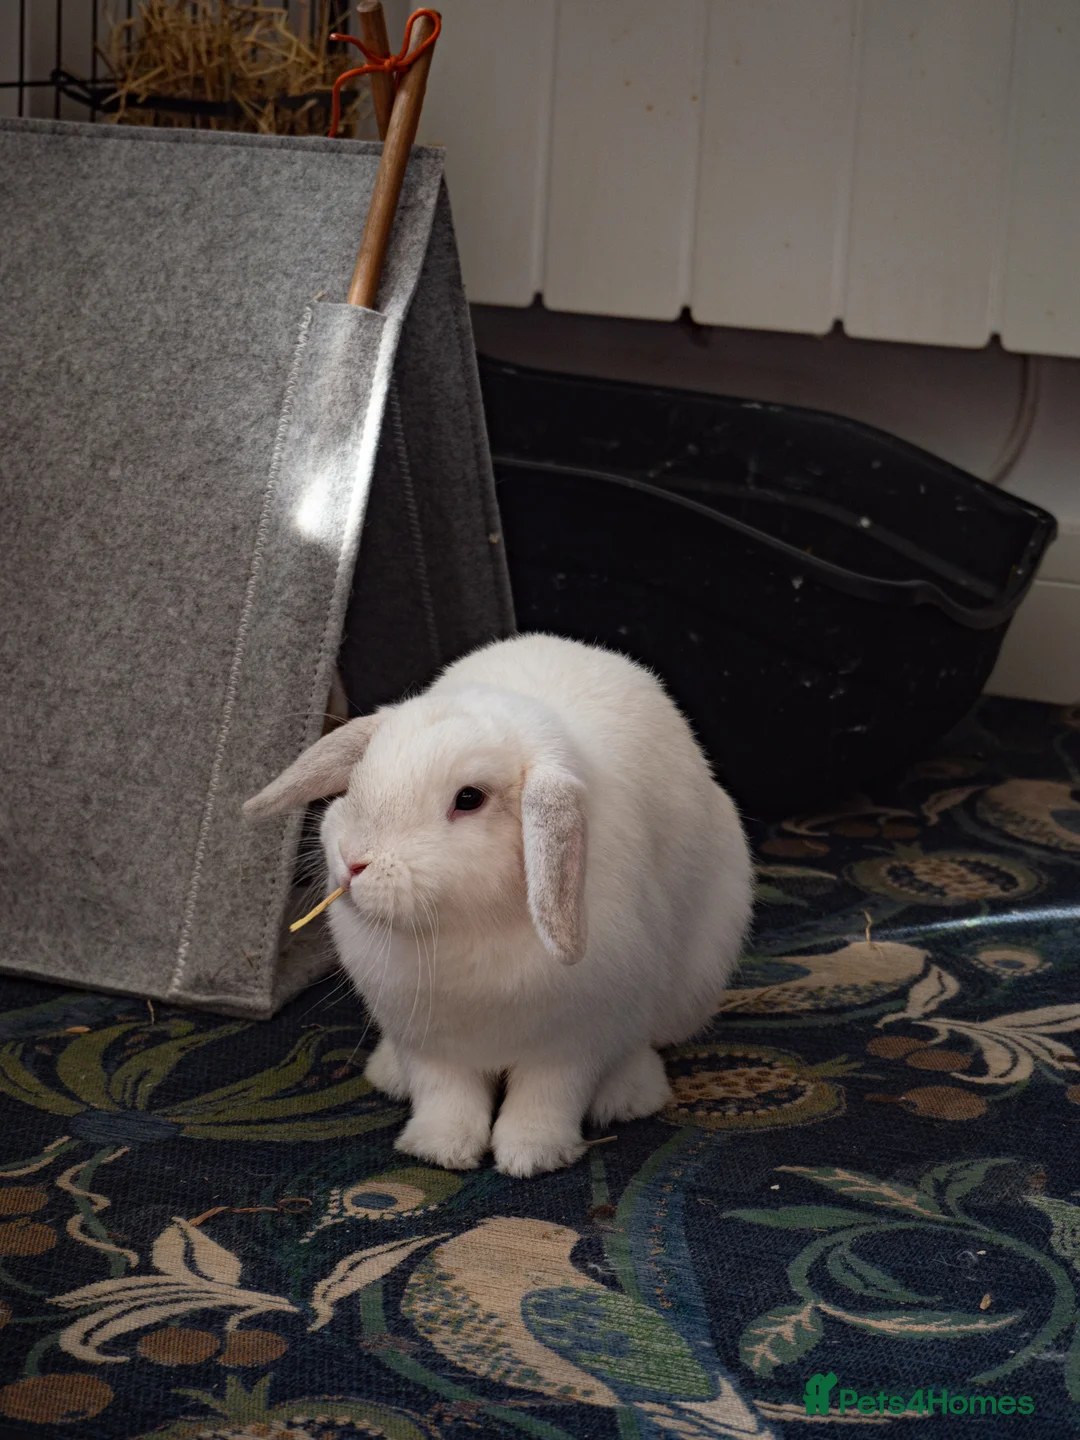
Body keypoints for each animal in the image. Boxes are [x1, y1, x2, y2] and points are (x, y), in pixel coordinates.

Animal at [244, 633, 752, 1177]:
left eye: (469, 798)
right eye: (360, 778)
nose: (352, 862)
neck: (463, 928)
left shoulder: (572, 1045)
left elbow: (546, 1100)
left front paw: (532, 1156)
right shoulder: (429, 1044)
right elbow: (445, 1098)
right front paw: (440, 1150)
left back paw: (628, 1096)